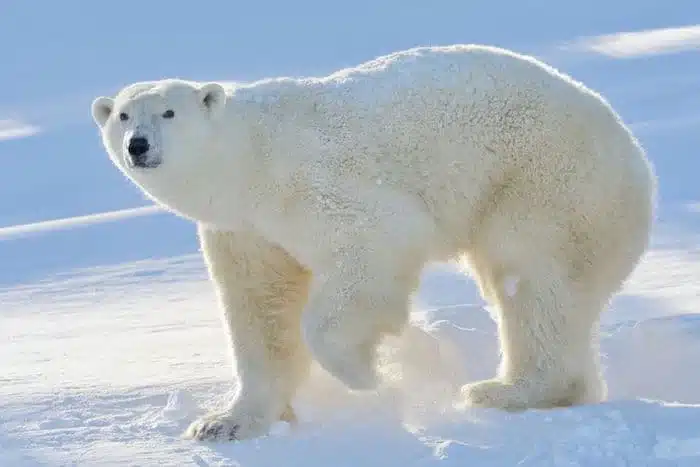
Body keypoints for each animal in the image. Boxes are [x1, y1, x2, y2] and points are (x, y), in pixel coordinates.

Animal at [91, 44, 656, 442]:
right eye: (122, 115)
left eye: (168, 113)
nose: (138, 145)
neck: (248, 161)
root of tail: (633, 152)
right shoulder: (245, 231)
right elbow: (260, 309)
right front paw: (225, 423)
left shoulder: (313, 184)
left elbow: (371, 249)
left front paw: (368, 373)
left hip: (547, 182)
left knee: (532, 279)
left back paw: (505, 390)